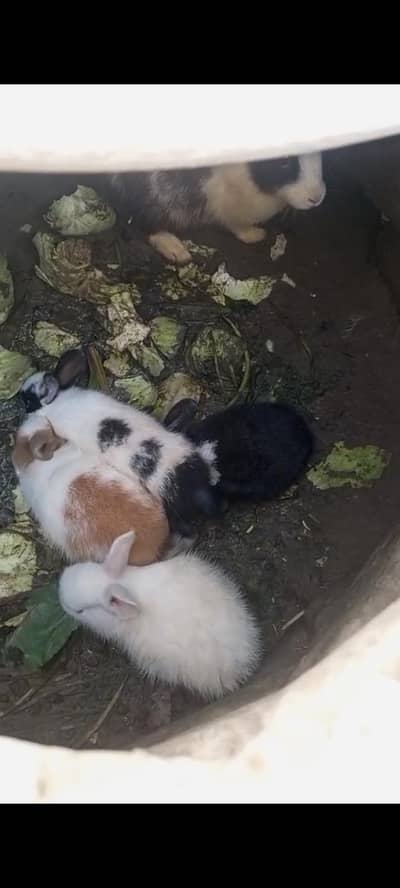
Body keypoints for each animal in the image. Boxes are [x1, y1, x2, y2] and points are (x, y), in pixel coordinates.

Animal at [105, 153, 326, 265]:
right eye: (283, 161)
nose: (317, 198)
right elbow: (238, 226)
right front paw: (257, 235)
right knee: (147, 225)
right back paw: (178, 252)